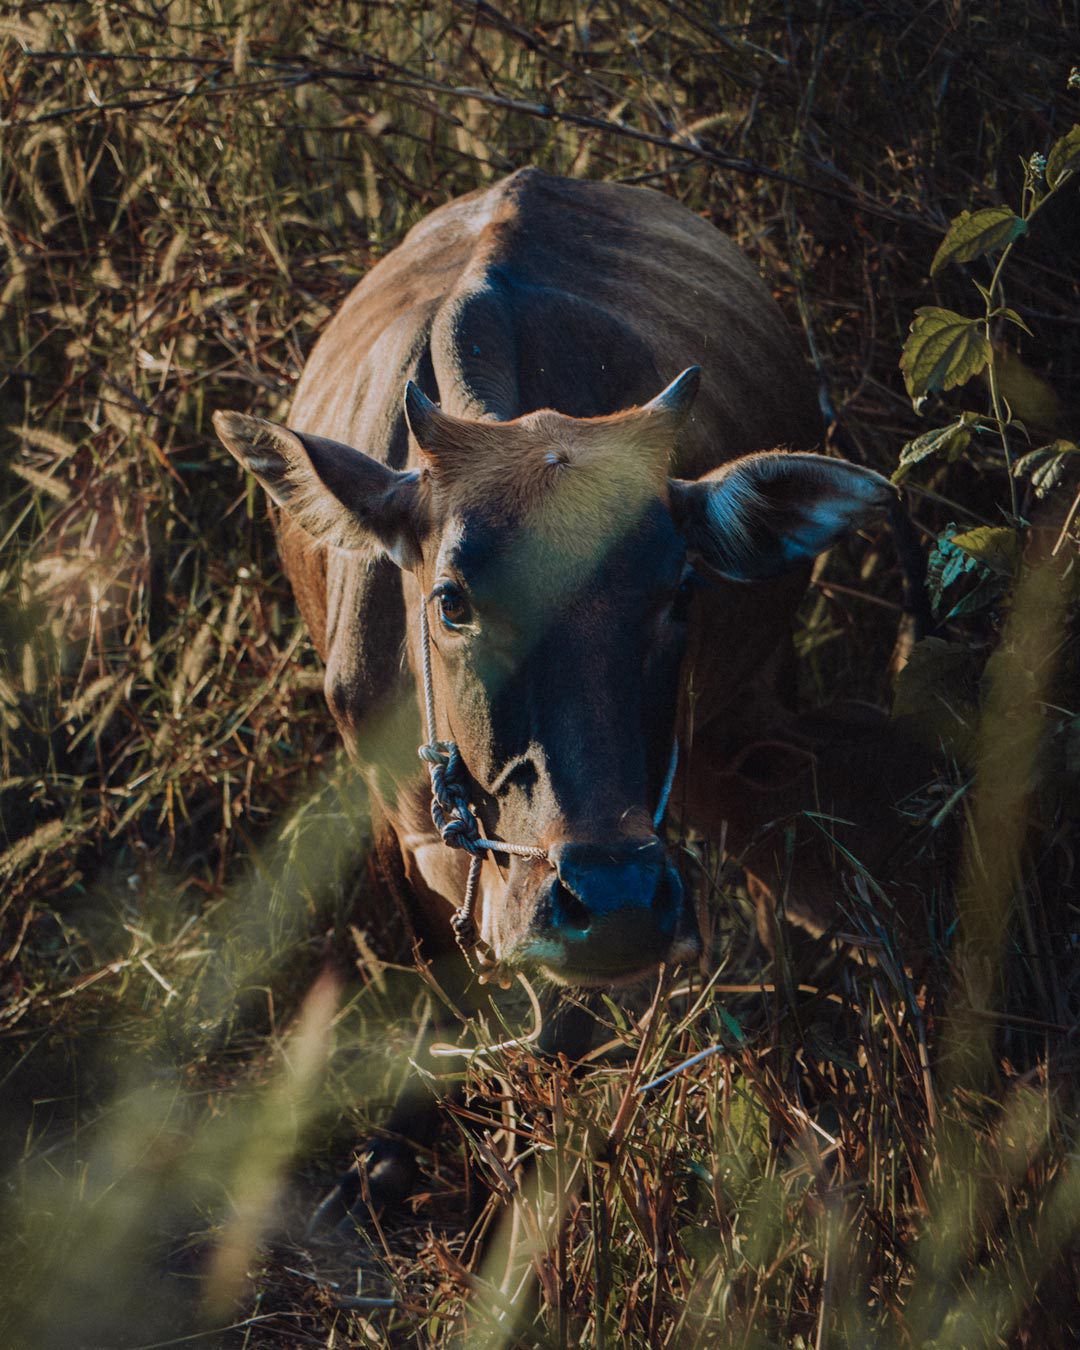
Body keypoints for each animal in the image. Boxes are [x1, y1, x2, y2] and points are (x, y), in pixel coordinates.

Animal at [210, 168, 912, 1225]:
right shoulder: (397, 820)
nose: (614, 899)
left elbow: (559, 1035)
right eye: (451, 600)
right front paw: (394, 1156)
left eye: (681, 590)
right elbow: (440, 979)